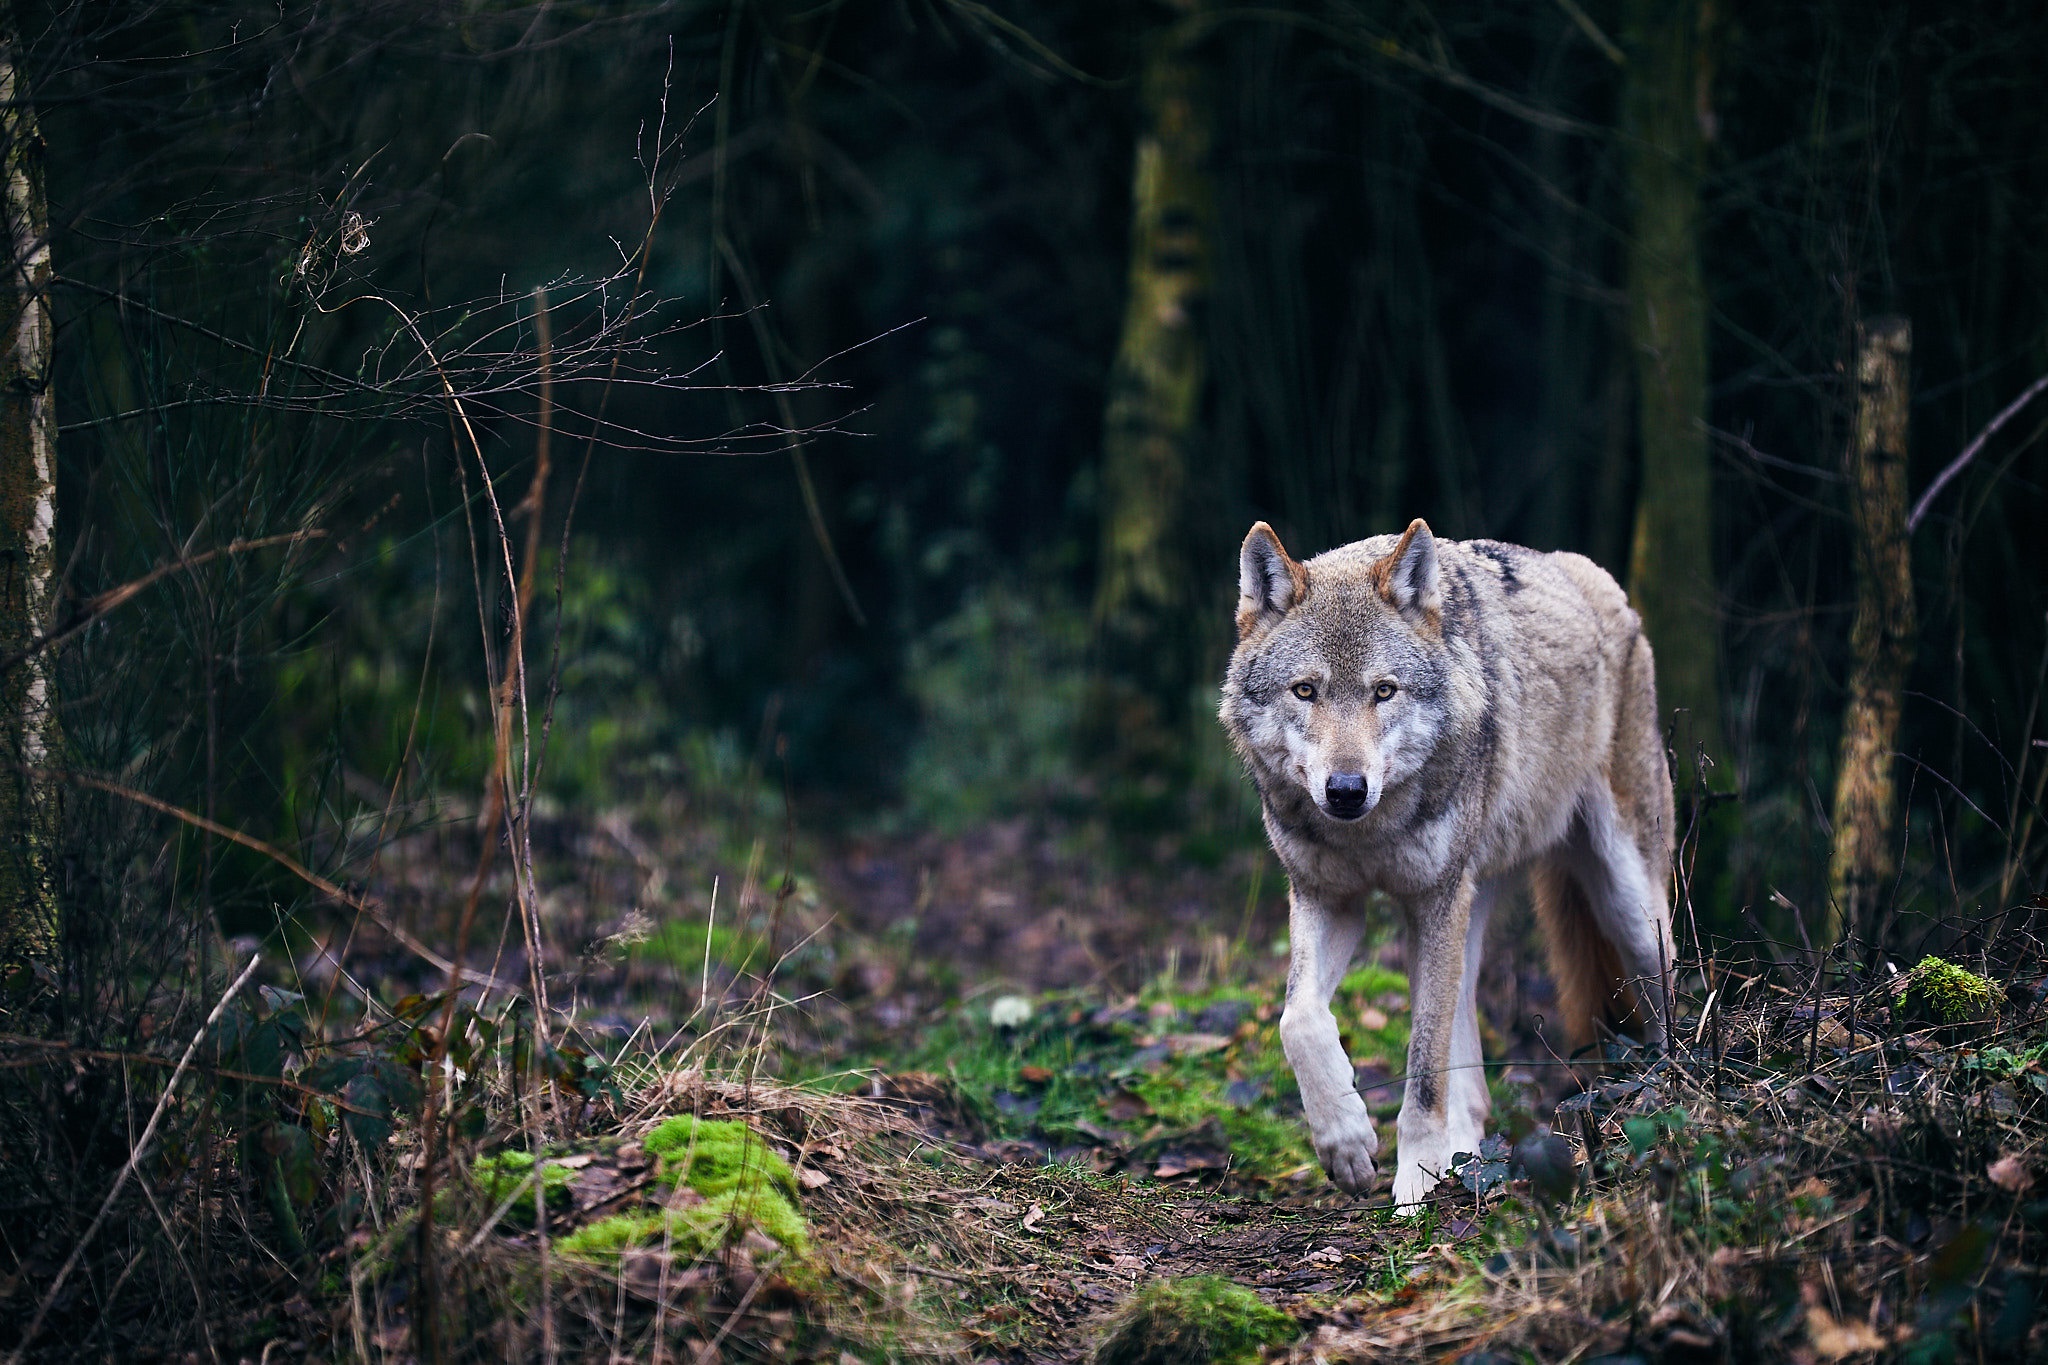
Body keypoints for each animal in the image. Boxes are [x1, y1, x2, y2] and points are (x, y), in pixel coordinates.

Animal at [1220, 515, 1671, 1203]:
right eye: (1306, 691)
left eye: (1384, 691)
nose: (1346, 790)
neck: (1370, 833)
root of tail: (1604, 585)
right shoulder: (1330, 899)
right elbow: (1297, 1021)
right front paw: (1347, 1145)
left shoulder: (1433, 900)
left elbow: (1424, 1069)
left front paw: (1413, 1184)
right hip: (1466, 908)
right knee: (1471, 1066)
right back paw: (1465, 1156)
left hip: (1626, 909)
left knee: (1674, 1001)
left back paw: (1672, 1100)